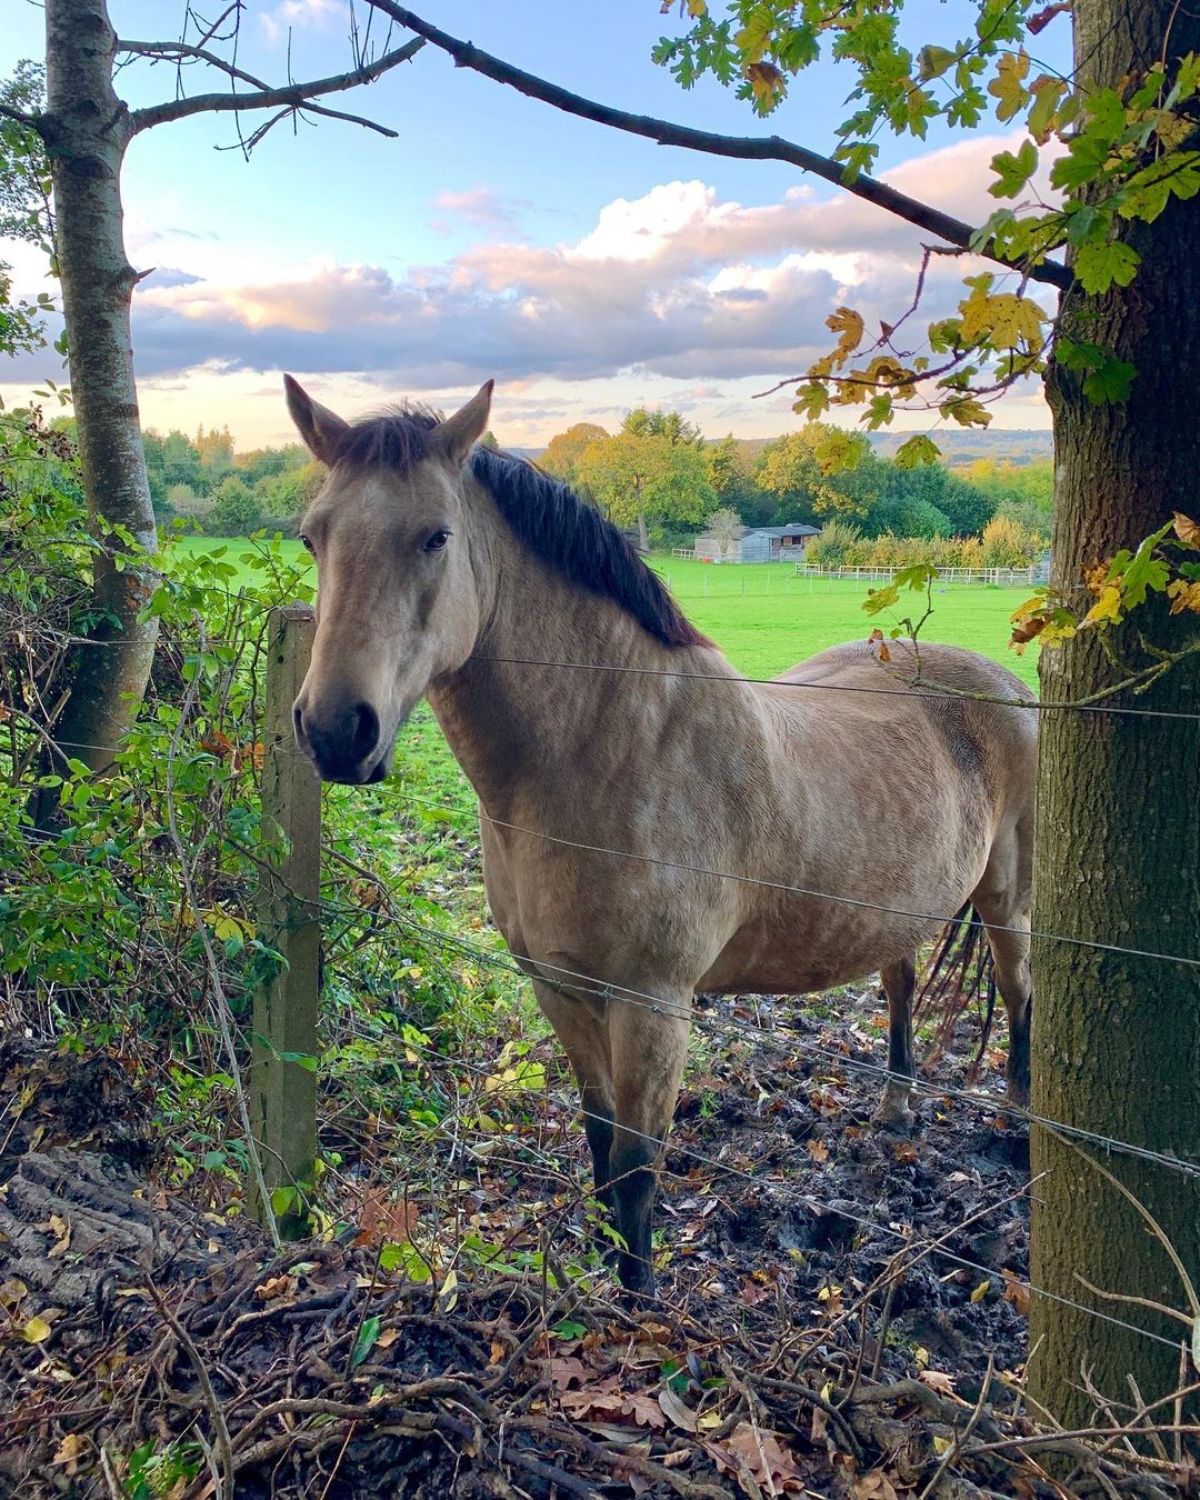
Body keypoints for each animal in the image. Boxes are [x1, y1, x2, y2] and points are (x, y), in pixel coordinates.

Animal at [286, 378, 1038, 1302]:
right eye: (313, 536)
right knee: (899, 982)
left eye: (436, 535)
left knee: (1019, 995)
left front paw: (642, 1311)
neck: (605, 751)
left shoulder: (654, 1006)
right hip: (895, 900)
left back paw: (1019, 1133)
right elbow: (602, 1148)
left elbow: (640, 1169)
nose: (335, 731)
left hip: (1007, 896)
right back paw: (897, 1109)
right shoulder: (562, 990)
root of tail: (1002, 681)